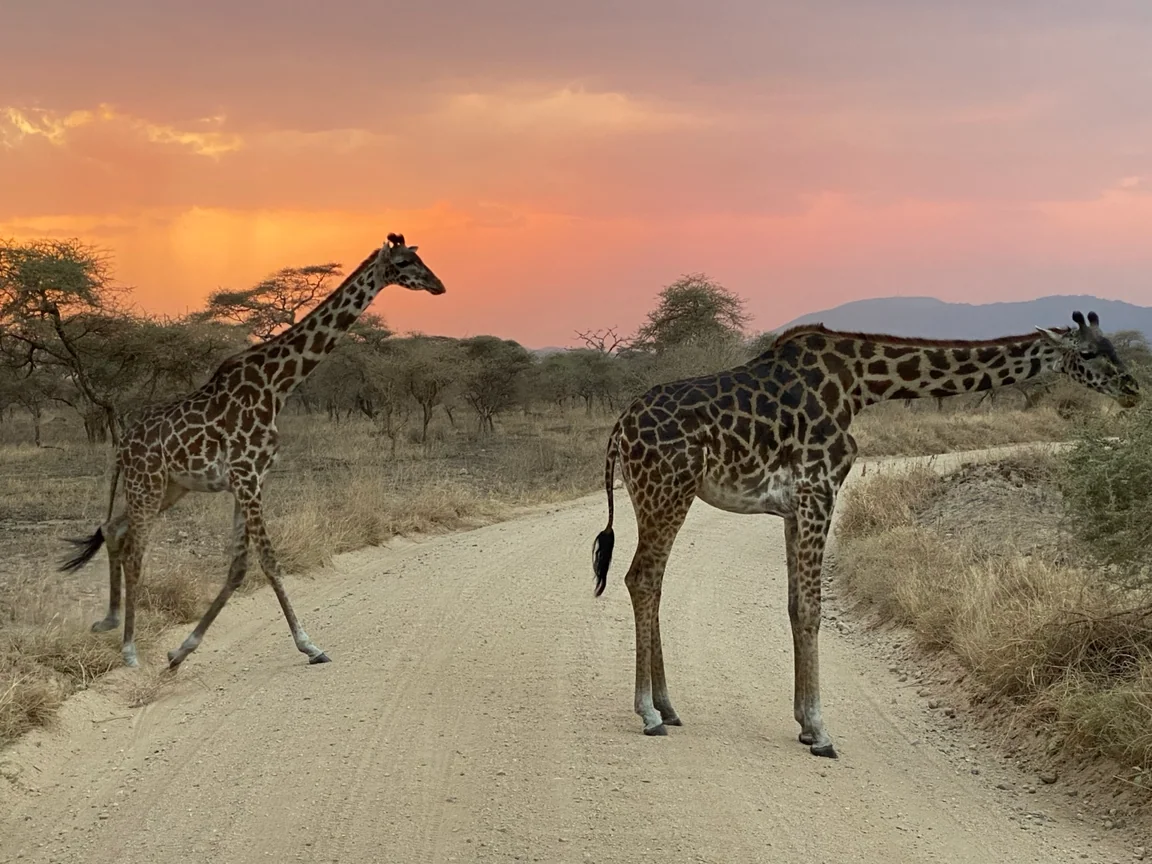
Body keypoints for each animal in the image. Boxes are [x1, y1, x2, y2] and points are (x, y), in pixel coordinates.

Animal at [58, 233, 446, 670]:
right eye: (404, 262)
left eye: (419, 258)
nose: (438, 285)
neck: (278, 384)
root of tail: (122, 447)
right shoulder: (247, 476)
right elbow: (270, 562)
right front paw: (309, 644)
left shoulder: (251, 480)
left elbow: (239, 567)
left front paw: (182, 649)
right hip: (148, 484)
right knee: (134, 551)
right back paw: (128, 649)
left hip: (170, 488)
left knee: (113, 528)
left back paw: (109, 621)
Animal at [591, 310, 1140, 757]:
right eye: (1088, 353)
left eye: (1112, 347)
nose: (1133, 388)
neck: (861, 384)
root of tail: (618, 428)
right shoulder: (819, 489)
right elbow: (811, 610)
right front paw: (820, 731)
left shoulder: (794, 506)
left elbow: (795, 605)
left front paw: (804, 724)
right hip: (669, 489)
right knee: (642, 578)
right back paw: (649, 712)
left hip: (652, 494)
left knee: (652, 581)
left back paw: (668, 705)